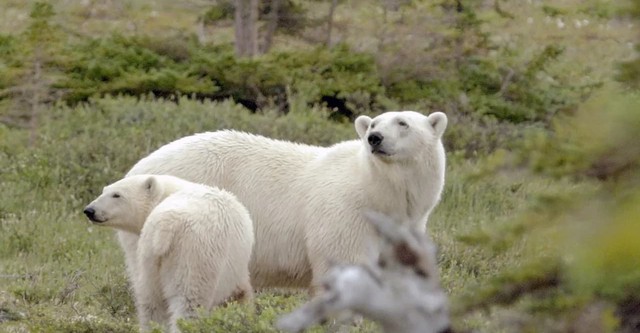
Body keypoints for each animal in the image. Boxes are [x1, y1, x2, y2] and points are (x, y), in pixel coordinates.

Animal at [124, 110, 444, 290]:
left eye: (403, 123)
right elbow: (343, 265)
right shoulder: (345, 215)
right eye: (373, 123)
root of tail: (136, 168)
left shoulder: (406, 227)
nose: (374, 138)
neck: (378, 193)